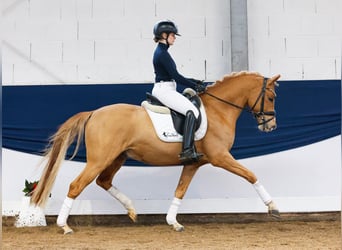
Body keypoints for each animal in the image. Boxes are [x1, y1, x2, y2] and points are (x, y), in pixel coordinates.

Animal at [31, 71, 280, 233]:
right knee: (77, 185)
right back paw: (64, 226)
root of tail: (94, 113)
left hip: (117, 157)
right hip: (99, 159)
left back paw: (131, 209)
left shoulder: (193, 163)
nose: (271, 126)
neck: (218, 110)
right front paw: (273, 207)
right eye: (270, 97)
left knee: (104, 181)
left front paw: (173, 222)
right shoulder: (221, 158)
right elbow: (251, 175)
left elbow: (180, 190)